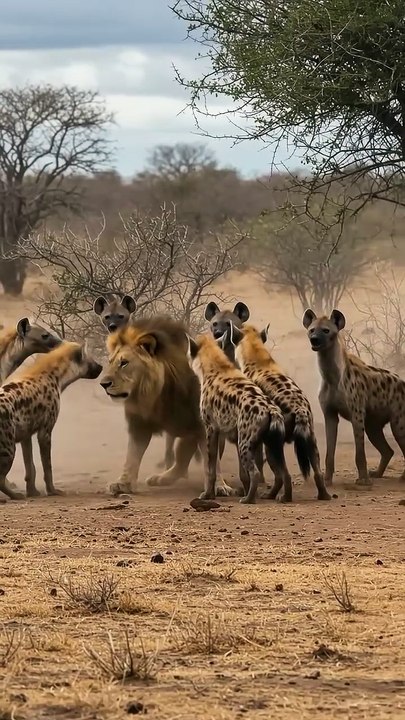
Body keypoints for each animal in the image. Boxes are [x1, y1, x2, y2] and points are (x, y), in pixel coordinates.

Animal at [99, 316, 236, 497]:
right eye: (110, 362)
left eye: (124, 363)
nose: (103, 384)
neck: (158, 393)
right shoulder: (139, 424)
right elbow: (132, 456)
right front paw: (123, 484)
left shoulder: (206, 426)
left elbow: (212, 462)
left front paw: (219, 486)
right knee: (181, 462)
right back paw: (161, 478)